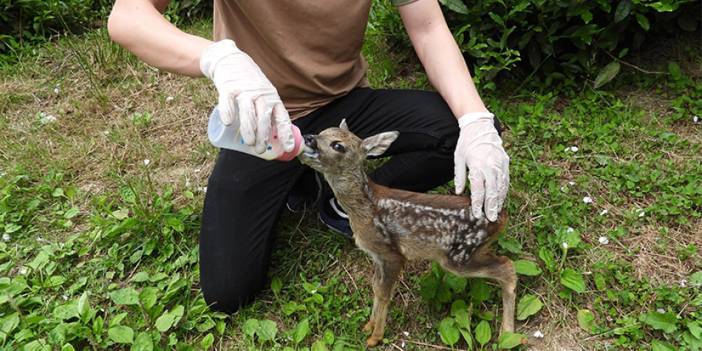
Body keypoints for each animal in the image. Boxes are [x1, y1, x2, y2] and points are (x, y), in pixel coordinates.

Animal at [298, 121, 516, 350]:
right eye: (322, 132)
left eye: (338, 145)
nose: (308, 137)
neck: (364, 210)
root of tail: (501, 216)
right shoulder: (376, 256)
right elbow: (376, 287)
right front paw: (369, 326)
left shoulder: (392, 254)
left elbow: (384, 293)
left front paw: (375, 337)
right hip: (472, 252)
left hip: (459, 256)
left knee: (507, 266)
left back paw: (507, 334)